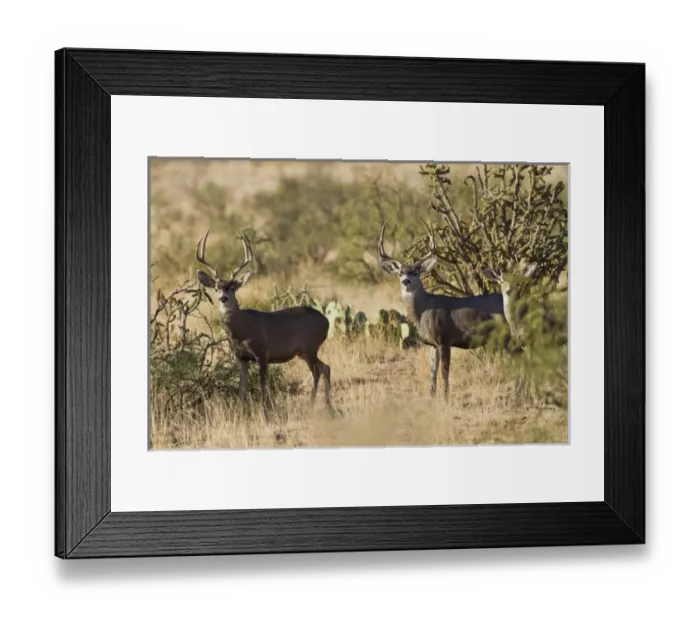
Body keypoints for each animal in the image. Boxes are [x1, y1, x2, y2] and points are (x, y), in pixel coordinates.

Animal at [194, 230, 334, 416]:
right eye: (216, 288)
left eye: (233, 288)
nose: (223, 298)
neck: (242, 329)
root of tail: (326, 321)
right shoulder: (241, 357)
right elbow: (242, 387)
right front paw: (240, 412)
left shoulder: (262, 353)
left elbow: (261, 386)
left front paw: (266, 413)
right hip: (304, 351)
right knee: (325, 368)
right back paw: (328, 405)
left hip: (310, 347)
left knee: (317, 371)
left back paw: (312, 405)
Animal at [377, 221, 508, 399]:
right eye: (399, 273)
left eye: (416, 272)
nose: (406, 282)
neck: (424, 312)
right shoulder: (432, 344)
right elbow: (433, 372)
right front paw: (432, 396)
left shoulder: (444, 338)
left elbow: (444, 372)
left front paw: (446, 397)